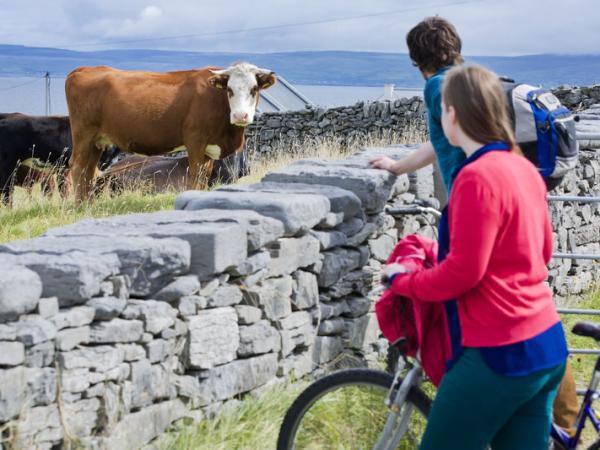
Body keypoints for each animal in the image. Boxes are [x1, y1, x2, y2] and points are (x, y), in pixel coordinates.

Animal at [65, 62, 276, 201]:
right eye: (229, 89)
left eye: (254, 88)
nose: (241, 115)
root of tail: (84, 69)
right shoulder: (195, 142)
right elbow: (195, 177)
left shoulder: (208, 149)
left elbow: (203, 178)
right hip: (83, 135)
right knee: (78, 168)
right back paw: (78, 206)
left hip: (96, 142)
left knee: (89, 170)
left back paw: (87, 204)